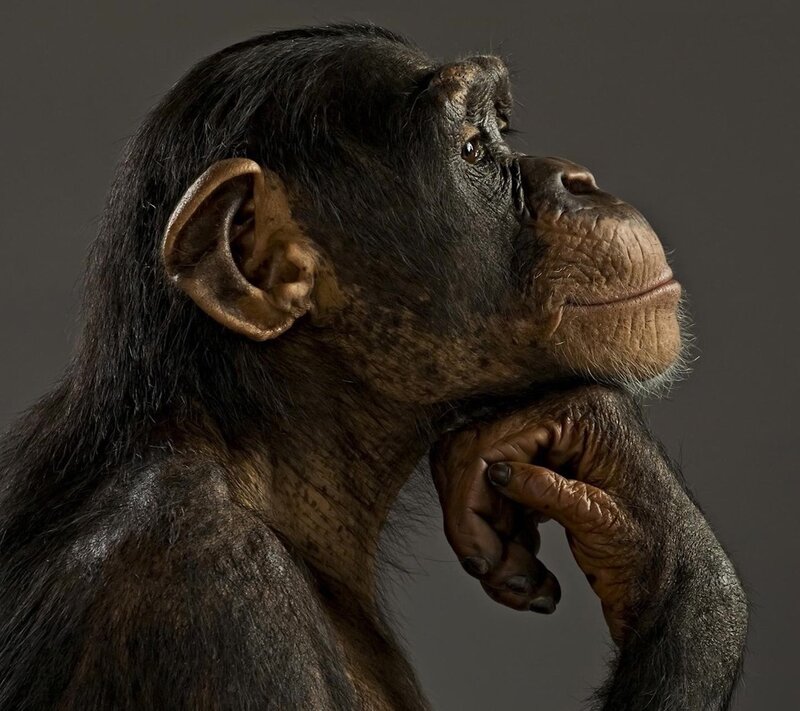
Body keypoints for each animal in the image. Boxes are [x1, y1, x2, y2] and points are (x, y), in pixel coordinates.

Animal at [0, 23, 747, 710]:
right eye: (473, 148)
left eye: (500, 129)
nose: (580, 180)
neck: (259, 452)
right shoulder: (206, 593)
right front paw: (662, 527)